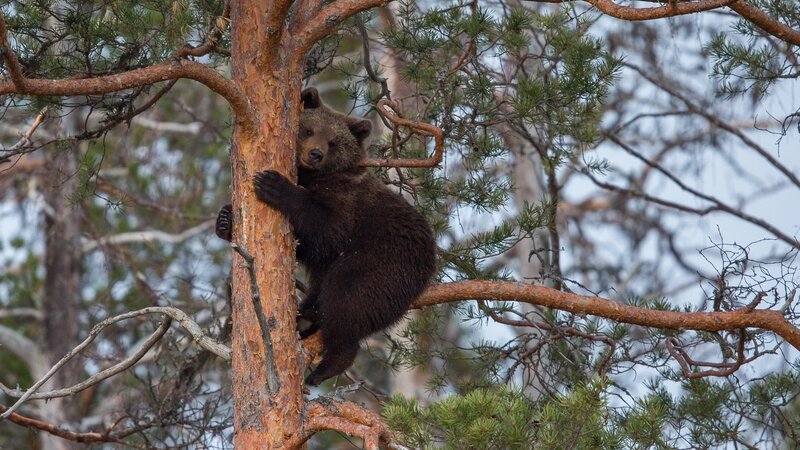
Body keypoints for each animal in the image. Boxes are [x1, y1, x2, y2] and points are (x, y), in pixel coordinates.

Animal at [216, 87, 437, 386]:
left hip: (381, 264)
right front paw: (225, 219)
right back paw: (306, 319)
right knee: (322, 295)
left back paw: (325, 366)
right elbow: (303, 245)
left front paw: (274, 185)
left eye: (333, 142)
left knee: (347, 300)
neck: (313, 176)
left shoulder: (346, 202)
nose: (315, 154)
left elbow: (327, 231)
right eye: (309, 130)